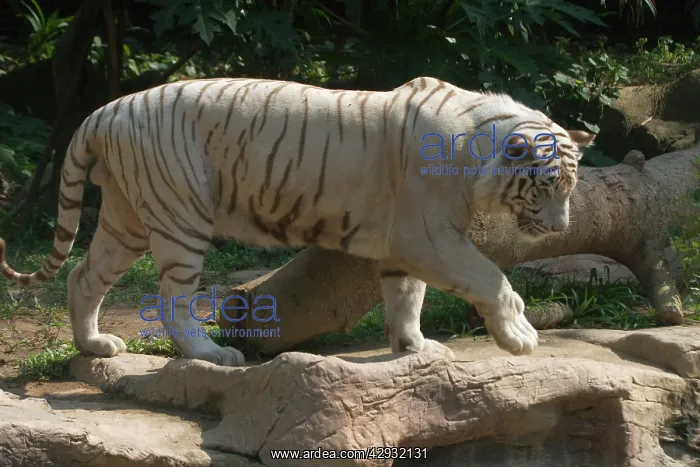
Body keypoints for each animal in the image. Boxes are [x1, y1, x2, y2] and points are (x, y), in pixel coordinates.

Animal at [0, 76, 594, 366]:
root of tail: (104, 110)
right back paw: (211, 354)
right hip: (180, 214)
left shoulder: (404, 245)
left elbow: (407, 296)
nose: (561, 229)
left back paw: (94, 346)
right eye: (547, 187)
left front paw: (414, 348)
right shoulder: (429, 236)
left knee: (84, 277)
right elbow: (493, 280)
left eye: (571, 188)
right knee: (172, 298)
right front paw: (519, 338)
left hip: (125, 219)